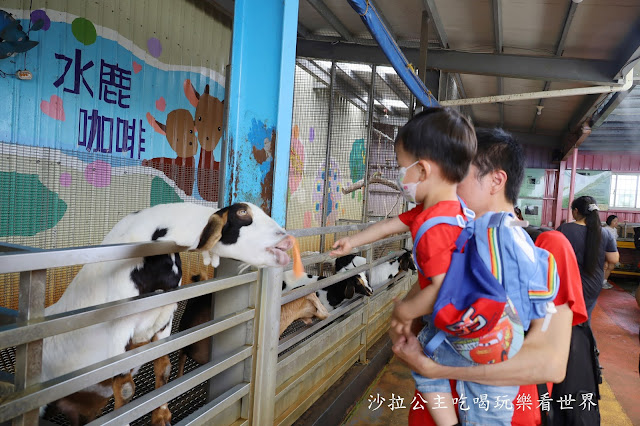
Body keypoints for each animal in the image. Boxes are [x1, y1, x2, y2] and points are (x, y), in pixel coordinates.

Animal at [43, 201, 294, 424]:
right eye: (242, 213)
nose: (288, 240)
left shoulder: (164, 319)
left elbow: (164, 369)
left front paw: (161, 417)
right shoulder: (118, 328)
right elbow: (125, 389)